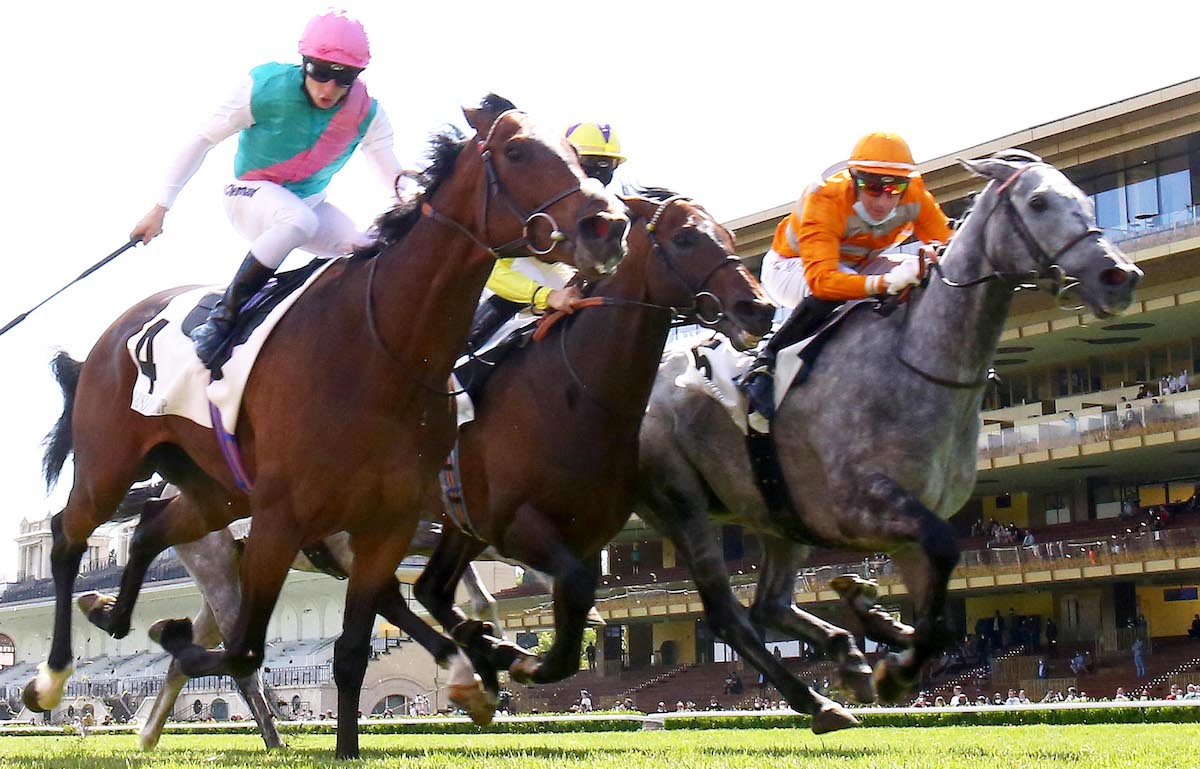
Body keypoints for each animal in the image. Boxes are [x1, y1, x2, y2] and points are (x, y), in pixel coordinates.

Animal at [25, 94, 628, 758]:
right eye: (517, 152)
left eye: (579, 158)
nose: (608, 224)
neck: (381, 345)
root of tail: (109, 337)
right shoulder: (285, 517)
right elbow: (246, 649)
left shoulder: (387, 524)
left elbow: (355, 647)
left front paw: (358, 741)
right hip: (112, 467)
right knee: (66, 537)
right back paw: (53, 675)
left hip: (215, 491)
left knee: (152, 526)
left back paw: (113, 615)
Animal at [633, 151, 1137, 710]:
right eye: (1039, 201)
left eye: (1088, 199)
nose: (1119, 276)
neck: (918, 361)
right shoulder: (857, 508)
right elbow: (942, 574)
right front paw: (893, 666)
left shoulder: (907, 521)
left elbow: (937, 608)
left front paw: (878, 621)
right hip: (683, 504)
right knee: (730, 616)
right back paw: (823, 695)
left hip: (775, 516)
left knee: (768, 605)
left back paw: (850, 653)